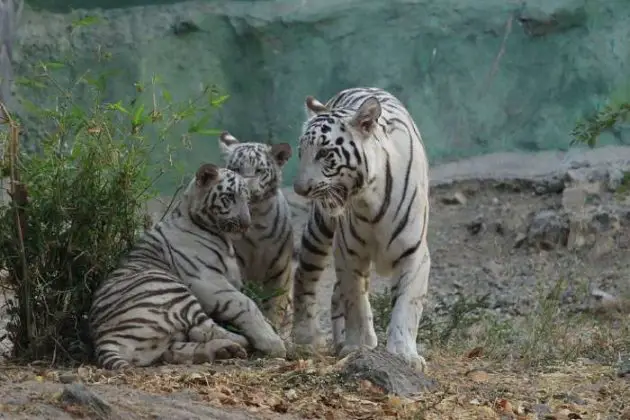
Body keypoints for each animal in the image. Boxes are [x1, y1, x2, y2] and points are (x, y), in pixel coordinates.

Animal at [89, 162, 286, 370]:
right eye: (229, 197)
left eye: (247, 199)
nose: (246, 224)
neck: (222, 237)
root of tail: (103, 340)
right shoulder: (207, 280)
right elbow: (247, 304)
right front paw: (272, 340)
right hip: (172, 289)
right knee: (205, 328)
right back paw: (247, 343)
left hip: (163, 341)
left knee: (183, 346)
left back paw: (225, 350)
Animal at [218, 131, 296, 342]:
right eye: (236, 169)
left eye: (259, 170)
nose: (247, 191)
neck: (257, 224)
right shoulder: (239, 267)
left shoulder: (280, 270)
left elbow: (275, 305)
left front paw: (275, 329)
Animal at [294, 87, 432, 370]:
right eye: (301, 152)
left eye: (323, 153)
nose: (300, 189)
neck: (369, 201)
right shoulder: (348, 254)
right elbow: (355, 301)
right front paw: (359, 345)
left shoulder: (414, 254)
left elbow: (407, 306)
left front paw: (404, 354)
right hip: (320, 229)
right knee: (305, 274)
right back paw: (305, 336)